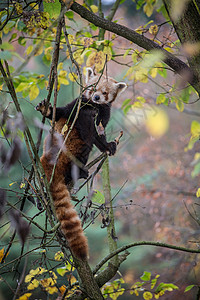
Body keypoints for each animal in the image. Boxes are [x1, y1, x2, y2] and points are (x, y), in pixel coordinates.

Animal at [36, 68, 126, 260]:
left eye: (104, 92)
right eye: (93, 89)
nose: (96, 97)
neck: (93, 108)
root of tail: (46, 159)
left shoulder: (101, 117)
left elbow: (99, 136)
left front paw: (109, 147)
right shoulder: (77, 106)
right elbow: (61, 113)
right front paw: (46, 109)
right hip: (73, 148)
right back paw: (80, 172)